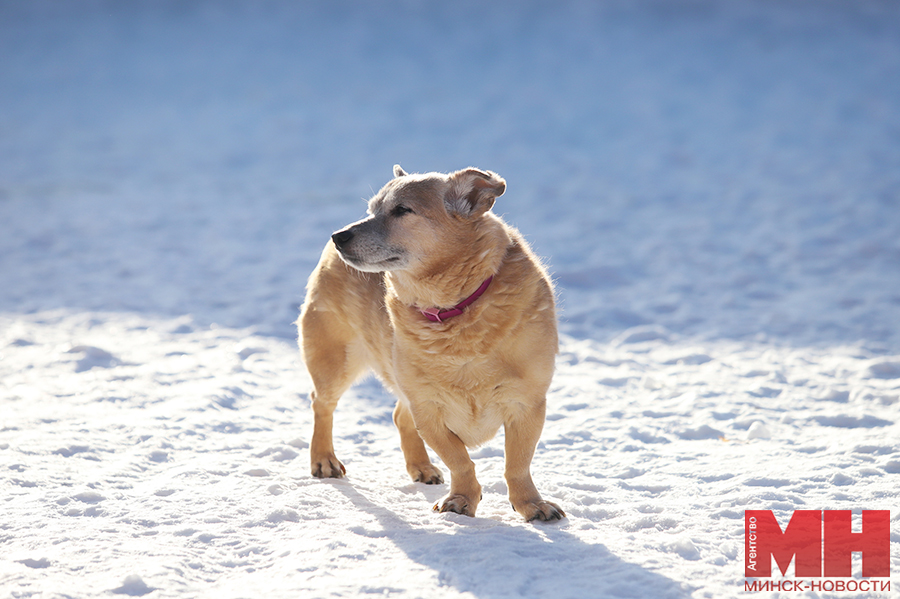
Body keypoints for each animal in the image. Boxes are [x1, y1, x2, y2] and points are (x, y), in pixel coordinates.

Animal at [298, 165, 568, 520]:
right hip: (334, 360)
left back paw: (421, 467)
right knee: (322, 404)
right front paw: (462, 499)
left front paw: (530, 504)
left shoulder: (527, 404)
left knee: (399, 415)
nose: (338, 236)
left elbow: (517, 464)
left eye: (402, 210)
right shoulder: (427, 408)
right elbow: (460, 460)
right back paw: (323, 459)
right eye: (372, 209)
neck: (454, 310)